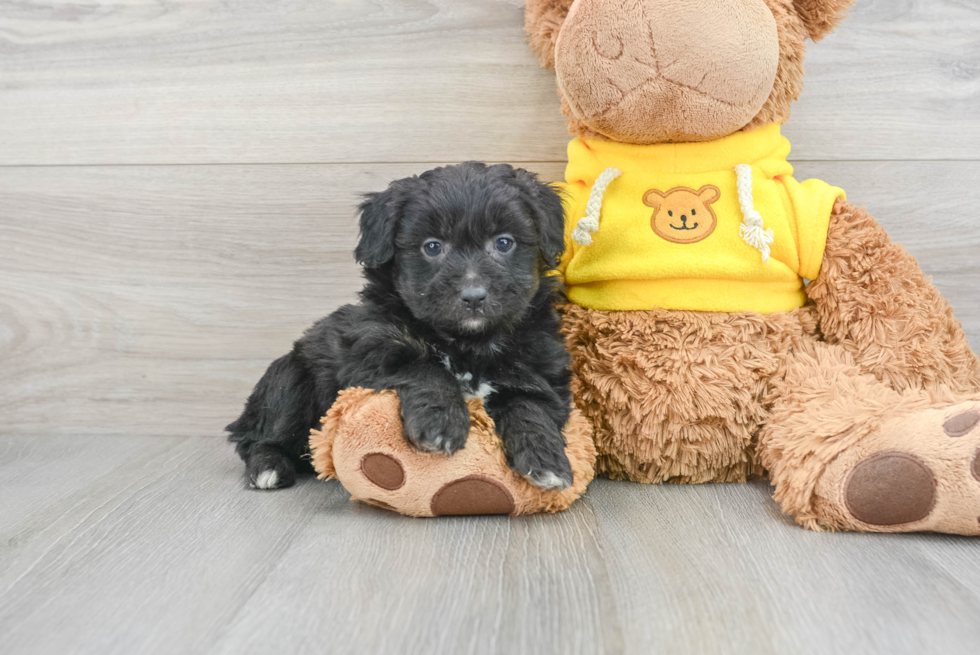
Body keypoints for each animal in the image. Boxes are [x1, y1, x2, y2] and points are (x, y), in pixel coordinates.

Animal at [228, 163, 576, 492]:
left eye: (504, 243)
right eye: (432, 247)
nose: (474, 296)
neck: (467, 342)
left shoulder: (536, 370)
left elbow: (530, 406)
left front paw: (547, 461)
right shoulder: (373, 350)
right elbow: (425, 368)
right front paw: (441, 424)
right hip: (289, 382)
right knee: (262, 437)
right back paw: (268, 467)